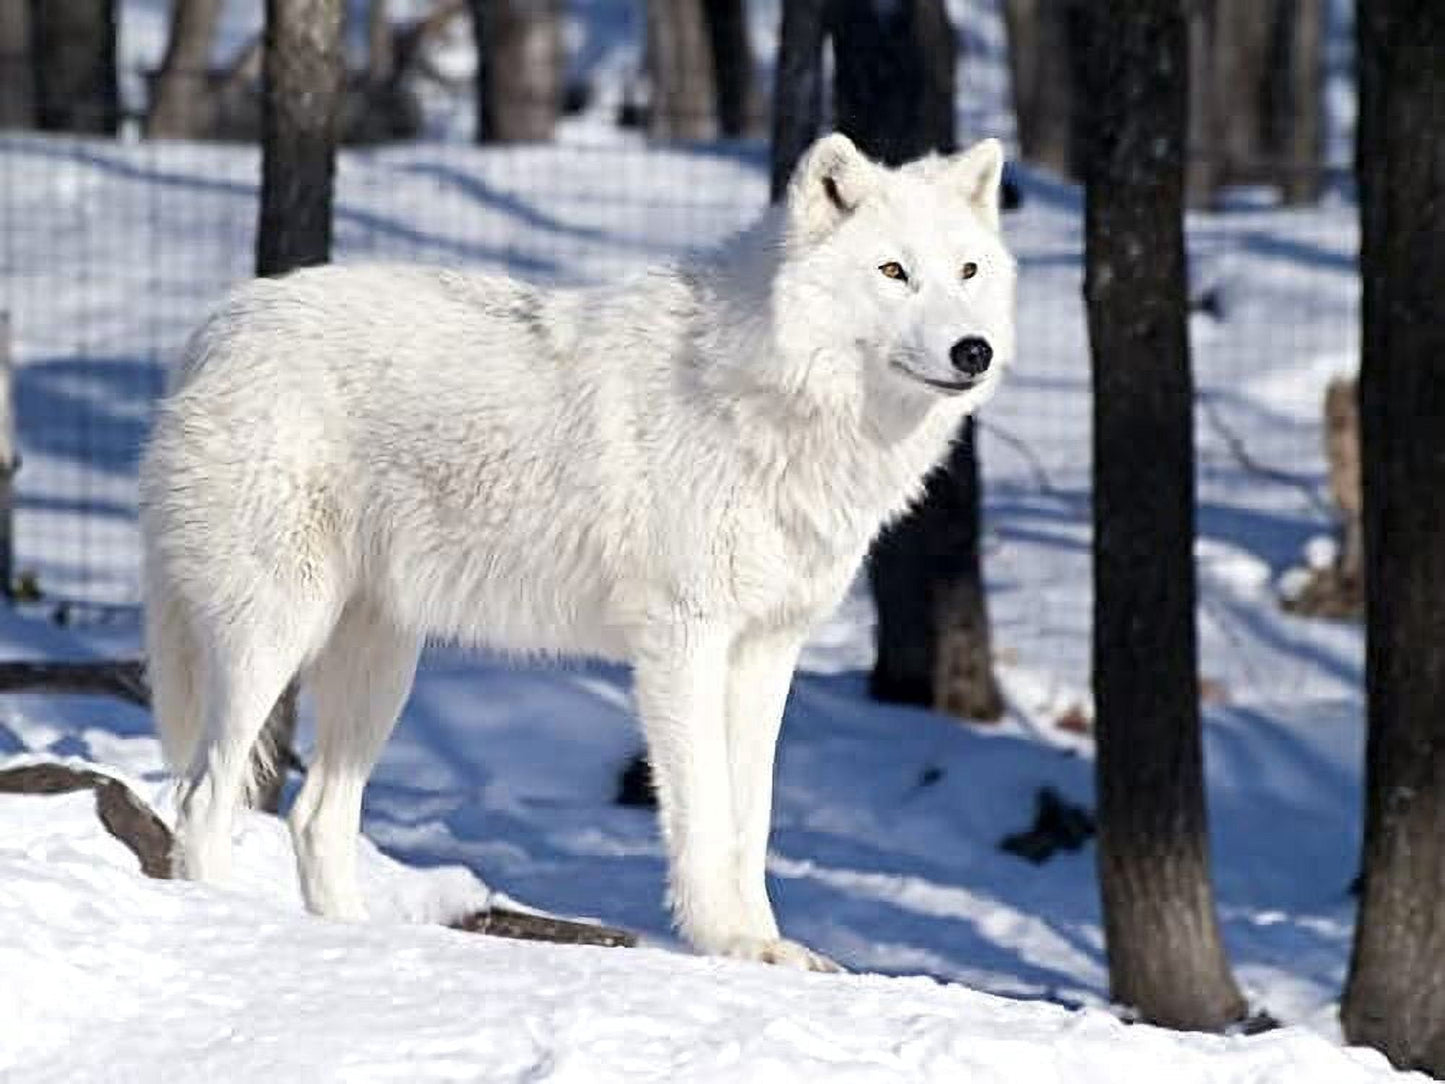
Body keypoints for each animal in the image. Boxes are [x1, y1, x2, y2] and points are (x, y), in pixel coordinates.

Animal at [139, 132, 1016, 971]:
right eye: (893, 271)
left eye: (966, 271)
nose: (973, 351)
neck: (771, 400)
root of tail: (218, 324)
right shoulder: (683, 644)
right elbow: (705, 814)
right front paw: (723, 943)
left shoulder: (767, 650)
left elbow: (752, 821)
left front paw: (766, 947)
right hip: (272, 639)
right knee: (202, 798)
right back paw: (229, 923)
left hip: (381, 668)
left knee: (315, 817)